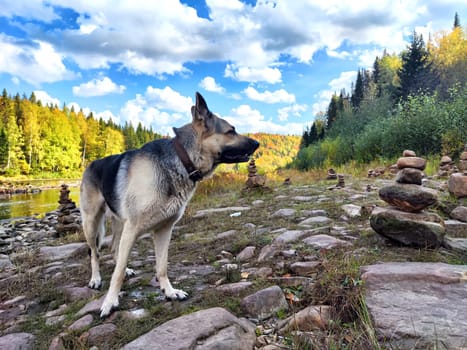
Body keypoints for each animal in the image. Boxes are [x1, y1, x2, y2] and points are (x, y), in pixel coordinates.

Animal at [80, 91, 260, 316]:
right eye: (231, 131)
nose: (257, 144)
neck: (182, 160)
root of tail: (90, 165)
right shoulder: (133, 229)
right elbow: (117, 273)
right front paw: (110, 302)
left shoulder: (164, 230)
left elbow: (161, 266)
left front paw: (169, 291)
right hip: (91, 223)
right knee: (94, 252)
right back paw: (95, 279)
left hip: (120, 223)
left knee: (114, 248)